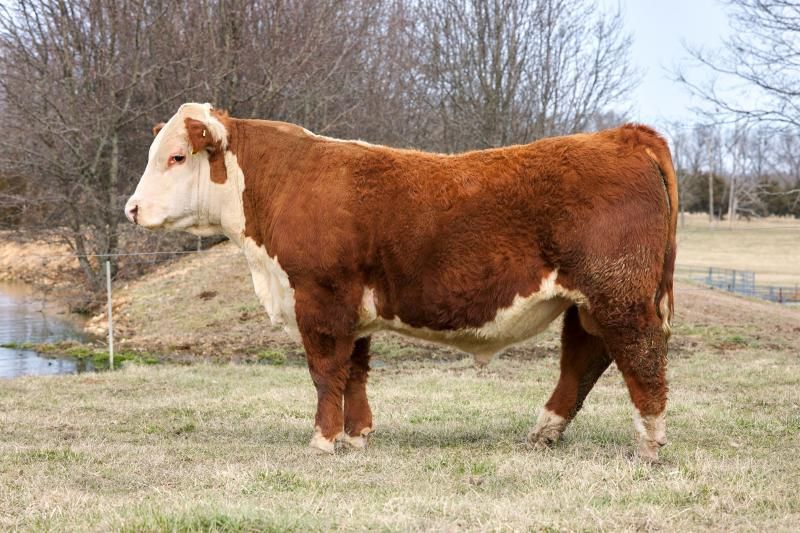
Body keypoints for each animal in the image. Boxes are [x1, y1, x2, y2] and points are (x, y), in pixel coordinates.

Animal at [125, 103, 678, 461]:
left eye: (176, 156)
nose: (131, 209)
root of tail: (622, 135)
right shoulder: (353, 308)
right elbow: (355, 371)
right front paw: (356, 436)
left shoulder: (320, 300)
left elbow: (325, 371)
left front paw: (322, 442)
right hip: (587, 301)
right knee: (585, 358)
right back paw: (544, 433)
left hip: (619, 295)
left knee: (640, 355)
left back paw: (649, 444)